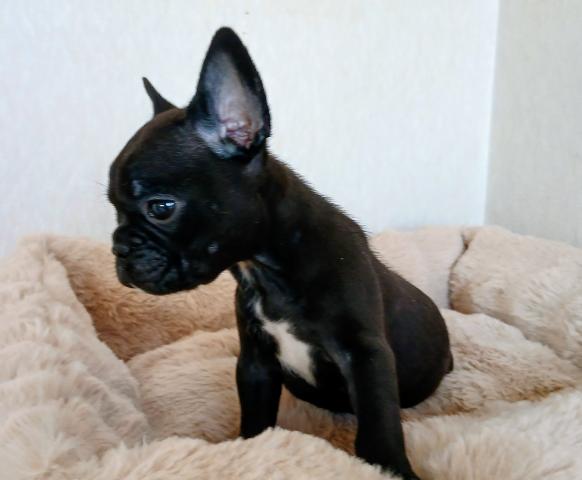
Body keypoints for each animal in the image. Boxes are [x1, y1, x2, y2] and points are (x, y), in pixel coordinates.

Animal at [108, 27, 453, 480]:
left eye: (160, 208)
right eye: (113, 208)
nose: (118, 247)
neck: (266, 268)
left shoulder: (366, 356)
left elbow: (378, 427)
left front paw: (391, 469)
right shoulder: (256, 364)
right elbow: (256, 419)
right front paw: (252, 452)